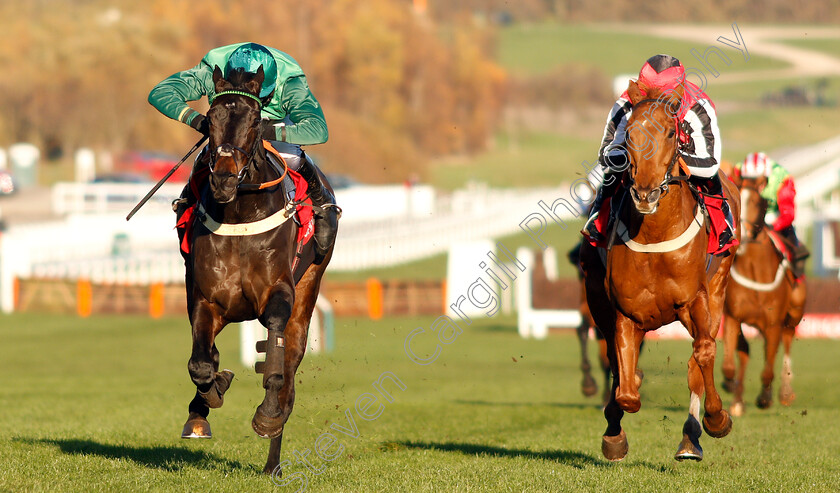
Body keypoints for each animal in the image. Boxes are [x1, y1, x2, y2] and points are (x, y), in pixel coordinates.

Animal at [179, 65, 334, 472]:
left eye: (253, 121)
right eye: (211, 117)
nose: (223, 178)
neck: (240, 215)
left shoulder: (278, 290)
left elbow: (276, 361)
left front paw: (266, 415)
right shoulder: (207, 299)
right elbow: (201, 363)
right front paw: (206, 402)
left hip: (309, 288)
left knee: (290, 377)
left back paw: (273, 458)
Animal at [580, 80, 740, 462]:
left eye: (670, 132)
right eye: (629, 133)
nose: (645, 193)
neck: (655, 235)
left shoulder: (695, 300)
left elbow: (704, 352)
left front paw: (717, 418)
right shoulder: (624, 311)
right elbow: (625, 389)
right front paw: (615, 432)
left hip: (718, 287)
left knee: (698, 359)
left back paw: (691, 439)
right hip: (595, 295)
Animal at [720, 175, 808, 414]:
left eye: (756, 202)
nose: (739, 234)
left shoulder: (774, 322)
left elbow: (769, 366)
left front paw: (765, 397)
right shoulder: (732, 317)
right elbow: (730, 363)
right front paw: (731, 387)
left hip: (793, 314)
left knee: (785, 342)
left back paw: (785, 391)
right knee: (745, 352)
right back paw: (738, 401)